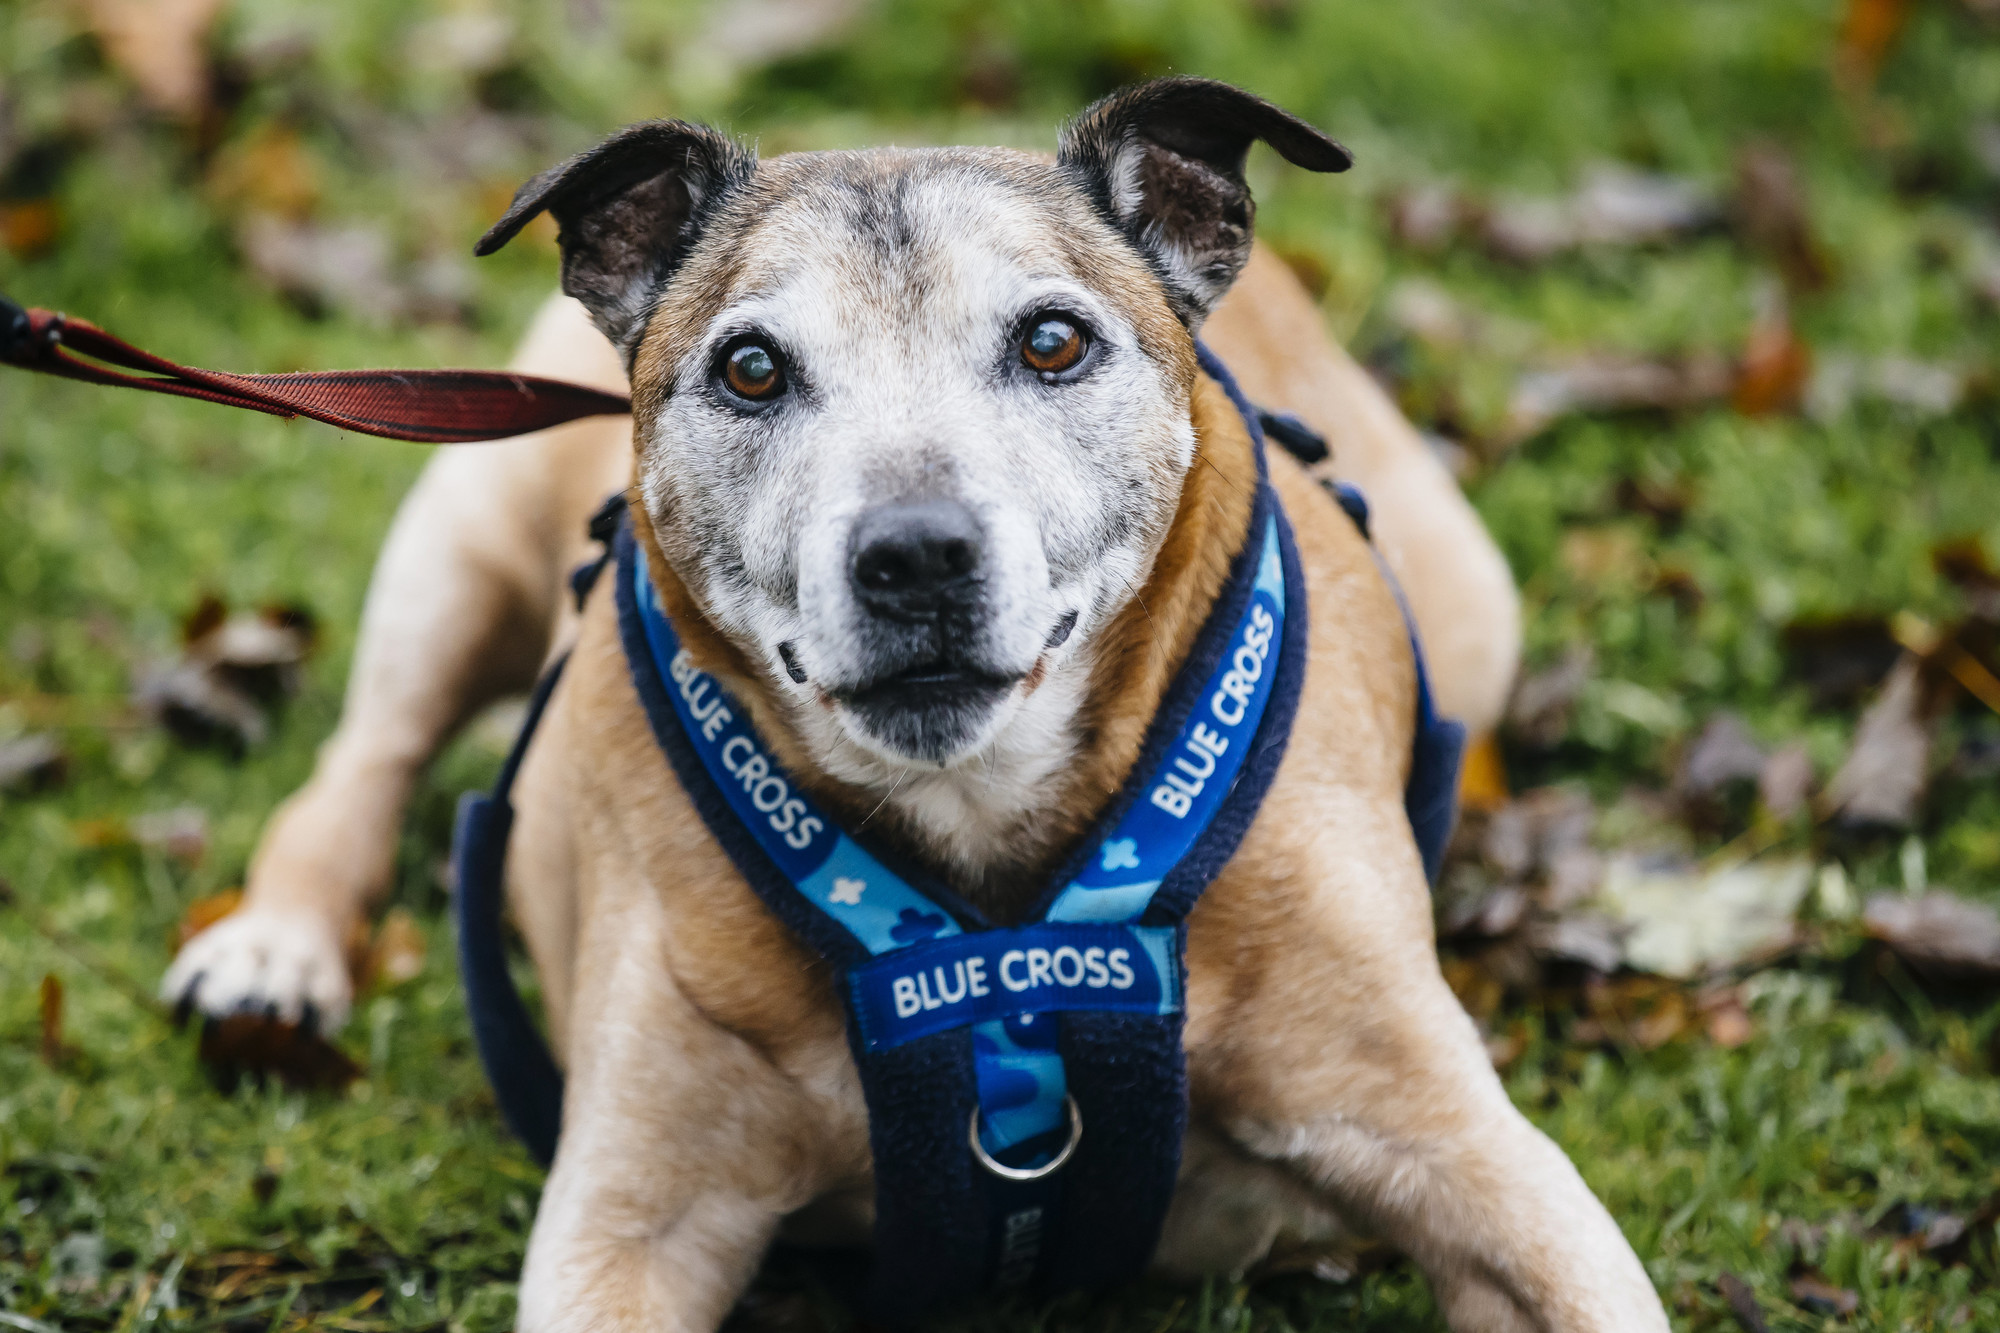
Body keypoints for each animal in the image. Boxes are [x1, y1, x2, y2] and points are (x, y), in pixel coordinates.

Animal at [156, 78, 1664, 1320]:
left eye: (1052, 342)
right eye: (751, 367)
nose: (915, 554)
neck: (983, 872)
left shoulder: (1465, 1155)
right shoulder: (629, 1220)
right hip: (460, 540)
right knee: (363, 760)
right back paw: (274, 946)